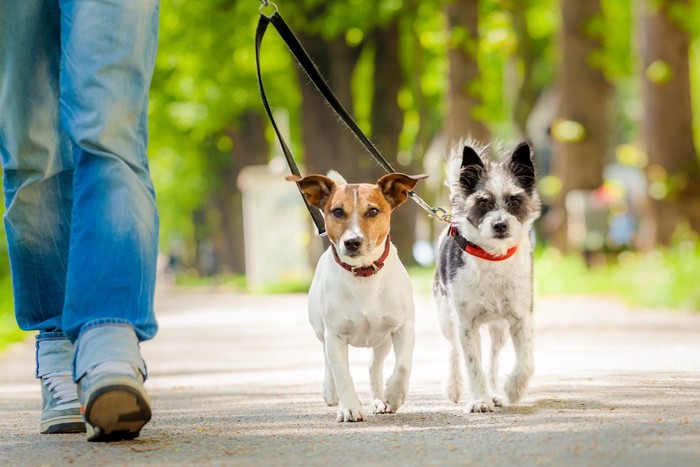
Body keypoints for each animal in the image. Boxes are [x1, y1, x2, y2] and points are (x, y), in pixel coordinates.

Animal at [432, 140, 540, 414]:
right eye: (482, 202)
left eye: (515, 200)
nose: (500, 225)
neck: (493, 257)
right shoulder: (466, 324)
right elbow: (472, 364)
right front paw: (479, 400)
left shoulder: (521, 318)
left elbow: (527, 361)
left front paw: (513, 389)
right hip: (446, 317)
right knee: (453, 350)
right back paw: (454, 387)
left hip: (498, 329)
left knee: (492, 358)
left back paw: (495, 392)